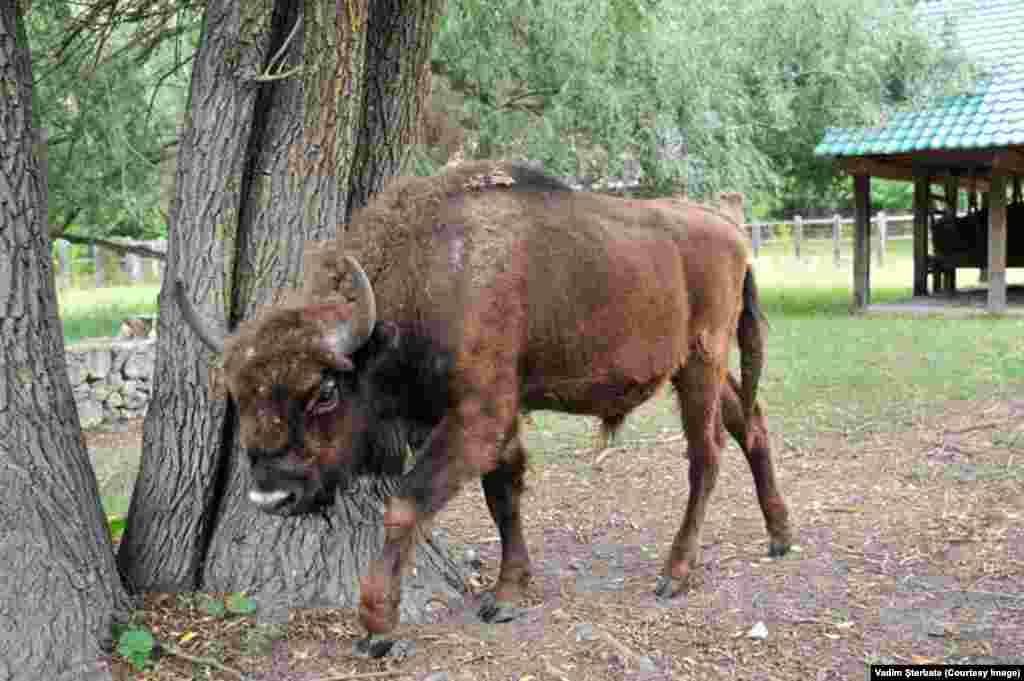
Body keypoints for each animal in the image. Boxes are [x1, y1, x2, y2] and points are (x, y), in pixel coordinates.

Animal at [178, 160, 790, 639]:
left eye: (325, 390)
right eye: (236, 391)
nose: (271, 495)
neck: (428, 278)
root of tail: (733, 234)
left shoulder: (478, 418)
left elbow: (407, 502)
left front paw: (377, 625)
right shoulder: (480, 423)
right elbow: (503, 499)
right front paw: (508, 593)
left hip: (701, 362)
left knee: (706, 455)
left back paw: (675, 574)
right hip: (701, 369)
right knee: (751, 425)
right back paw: (779, 536)